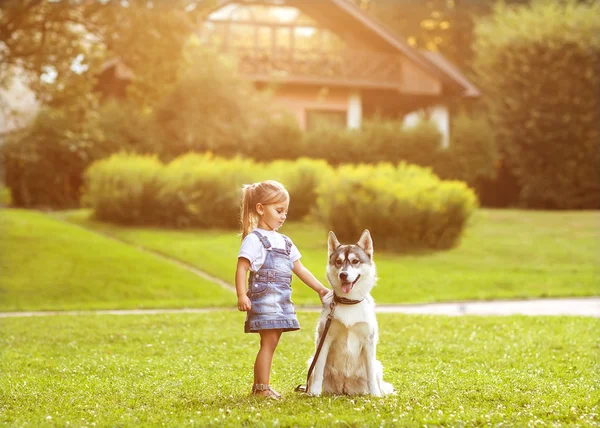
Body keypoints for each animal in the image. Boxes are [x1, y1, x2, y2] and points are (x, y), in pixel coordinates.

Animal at [308, 231, 396, 398]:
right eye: (338, 262)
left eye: (355, 261)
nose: (343, 275)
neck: (349, 302)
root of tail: (344, 387)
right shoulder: (325, 338)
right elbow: (318, 371)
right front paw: (314, 392)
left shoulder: (369, 342)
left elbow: (370, 375)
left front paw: (375, 395)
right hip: (311, 360)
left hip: (377, 365)